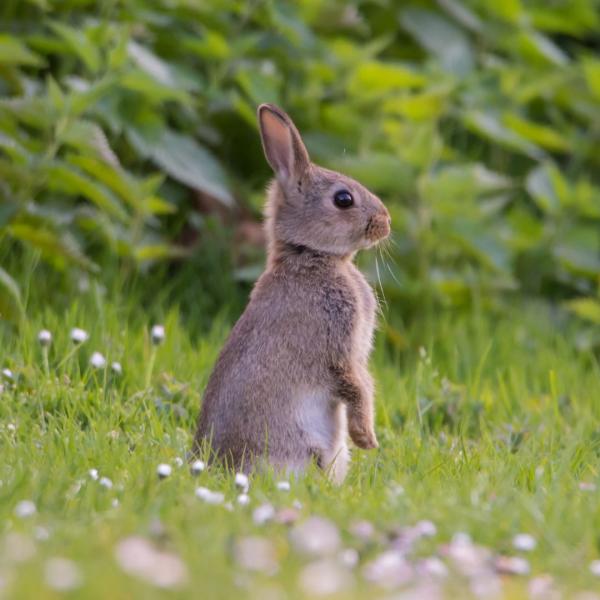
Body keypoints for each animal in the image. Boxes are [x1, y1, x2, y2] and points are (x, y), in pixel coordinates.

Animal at [192, 105, 390, 486]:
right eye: (343, 199)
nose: (386, 222)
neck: (311, 256)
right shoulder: (337, 348)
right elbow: (355, 386)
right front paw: (366, 439)